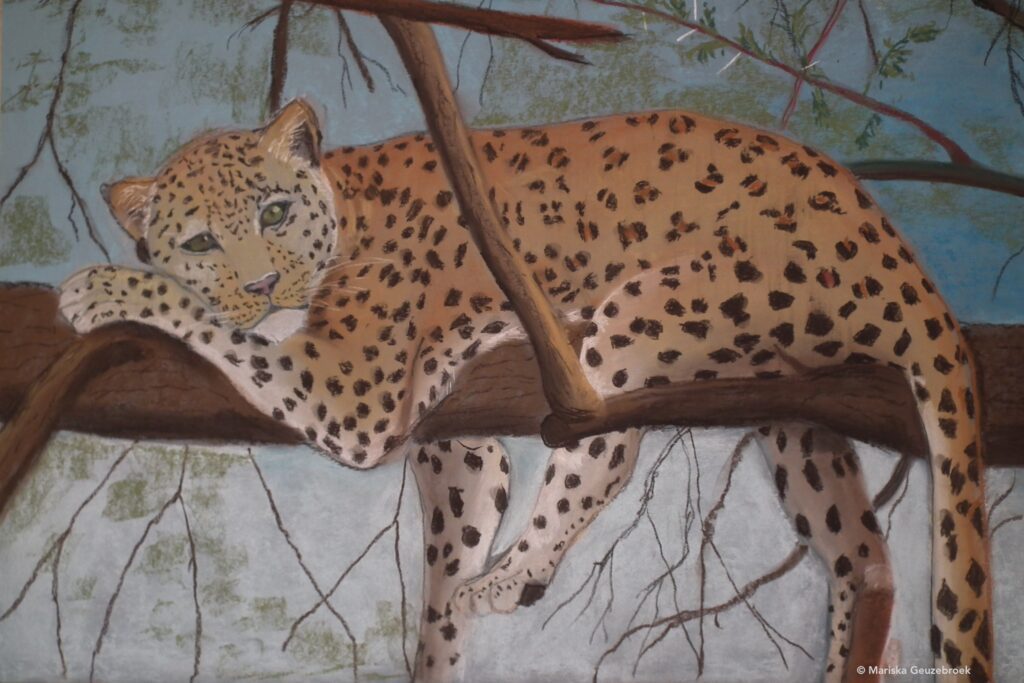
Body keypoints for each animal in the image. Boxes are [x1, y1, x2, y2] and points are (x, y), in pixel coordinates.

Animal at [59, 99, 992, 682]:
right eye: (202, 240)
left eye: (276, 214)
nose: (261, 285)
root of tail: (899, 250)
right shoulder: (455, 445)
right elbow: (440, 578)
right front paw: (436, 656)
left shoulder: (352, 393)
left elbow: (204, 319)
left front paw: (98, 289)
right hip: (794, 418)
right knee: (863, 555)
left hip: (654, 310)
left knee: (607, 444)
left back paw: (519, 578)